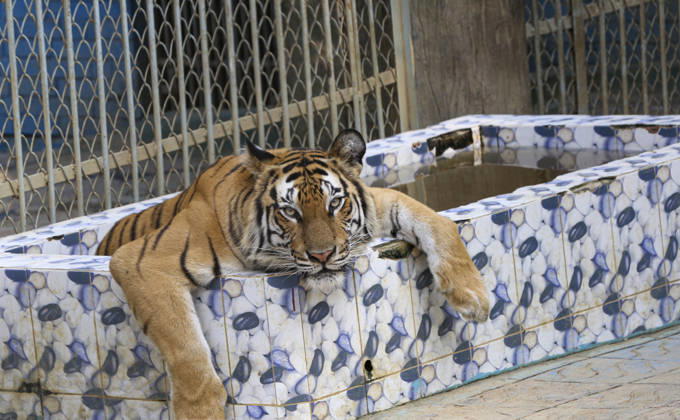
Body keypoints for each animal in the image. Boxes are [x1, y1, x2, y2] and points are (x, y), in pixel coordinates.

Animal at [98, 129, 490, 419]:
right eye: (290, 211)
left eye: (335, 203)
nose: (322, 255)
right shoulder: (142, 262)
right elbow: (187, 353)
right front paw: (201, 413)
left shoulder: (379, 201)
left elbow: (438, 222)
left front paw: (474, 299)